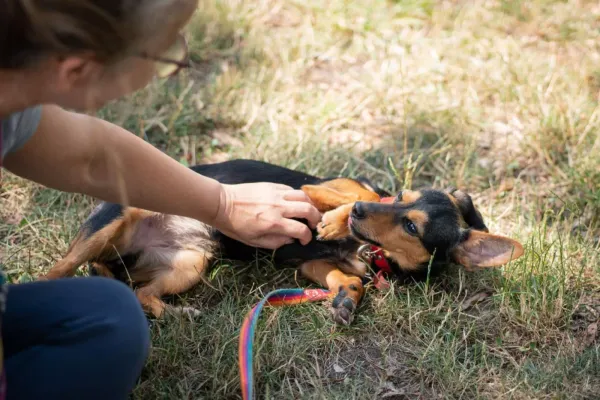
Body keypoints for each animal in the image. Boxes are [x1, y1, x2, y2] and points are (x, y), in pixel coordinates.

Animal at [42, 158, 524, 324]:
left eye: (411, 227)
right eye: (400, 197)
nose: (356, 217)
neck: (369, 251)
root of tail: (118, 258)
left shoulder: (310, 266)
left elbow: (347, 279)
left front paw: (346, 300)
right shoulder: (325, 188)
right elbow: (355, 195)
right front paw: (333, 220)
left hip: (189, 263)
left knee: (143, 293)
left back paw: (175, 313)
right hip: (111, 222)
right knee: (58, 271)